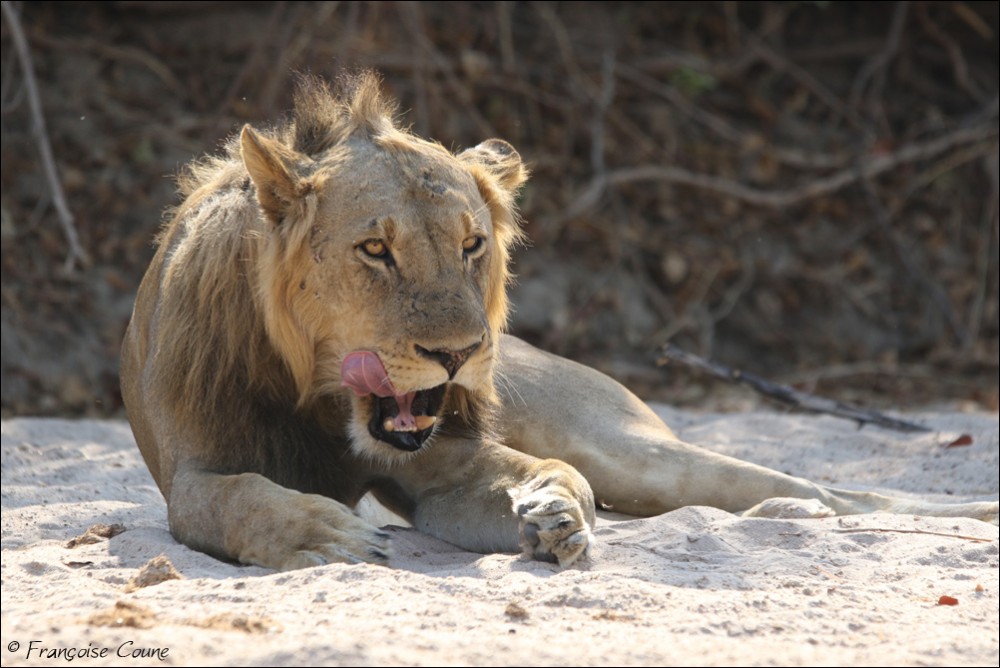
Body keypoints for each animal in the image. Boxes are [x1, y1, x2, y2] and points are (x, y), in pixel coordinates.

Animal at [121, 72, 997, 571]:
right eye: (375, 250)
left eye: (471, 245)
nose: (460, 355)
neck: (322, 396)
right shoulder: (197, 467)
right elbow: (234, 498)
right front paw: (325, 534)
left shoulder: (446, 459)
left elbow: (545, 476)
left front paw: (557, 511)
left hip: (627, 448)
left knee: (822, 487)